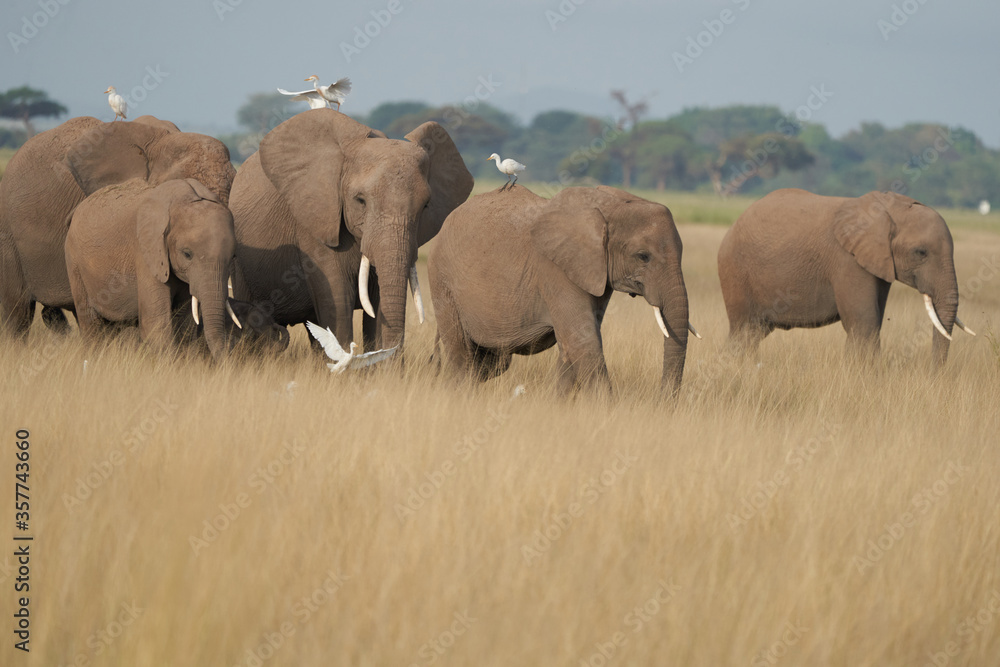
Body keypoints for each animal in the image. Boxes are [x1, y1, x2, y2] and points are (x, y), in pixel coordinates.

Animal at [64, 178, 237, 360]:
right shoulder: (146, 252)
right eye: (187, 254)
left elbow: (184, 324)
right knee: (92, 325)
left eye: (233, 256)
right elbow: (156, 324)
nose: (228, 357)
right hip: (74, 263)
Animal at [428, 185, 694, 395]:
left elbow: (571, 345)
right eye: (643, 256)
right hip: (442, 282)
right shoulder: (556, 272)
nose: (662, 402)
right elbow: (583, 340)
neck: (609, 204)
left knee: (490, 363)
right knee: (461, 355)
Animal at [717, 188, 975, 365]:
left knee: (754, 333)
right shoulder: (848, 261)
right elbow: (864, 322)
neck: (889, 208)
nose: (933, 374)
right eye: (920, 252)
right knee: (744, 331)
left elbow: (870, 322)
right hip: (735, 272)